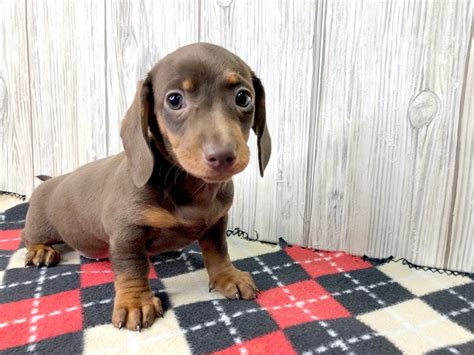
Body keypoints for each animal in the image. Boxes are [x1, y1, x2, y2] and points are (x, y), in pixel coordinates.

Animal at [22, 43, 272, 332]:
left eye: (243, 97)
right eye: (174, 100)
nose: (222, 156)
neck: (190, 185)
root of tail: (52, 180)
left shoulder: (217, 222)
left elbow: (218, 251)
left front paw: (227, 277)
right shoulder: (126, 232)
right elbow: (133, 267)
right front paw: (135, 303)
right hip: (40, 224)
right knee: (29, 237)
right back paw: (40, 250)